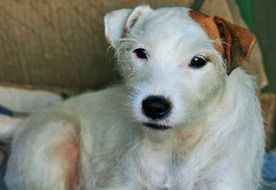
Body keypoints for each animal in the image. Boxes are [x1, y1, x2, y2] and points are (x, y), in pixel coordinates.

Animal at [2, 4, 266, 190]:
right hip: (57, 137)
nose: (154, 106)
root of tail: (25, 120)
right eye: (140, 53)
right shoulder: (124, 183)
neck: (177, 144)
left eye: (198, 61)